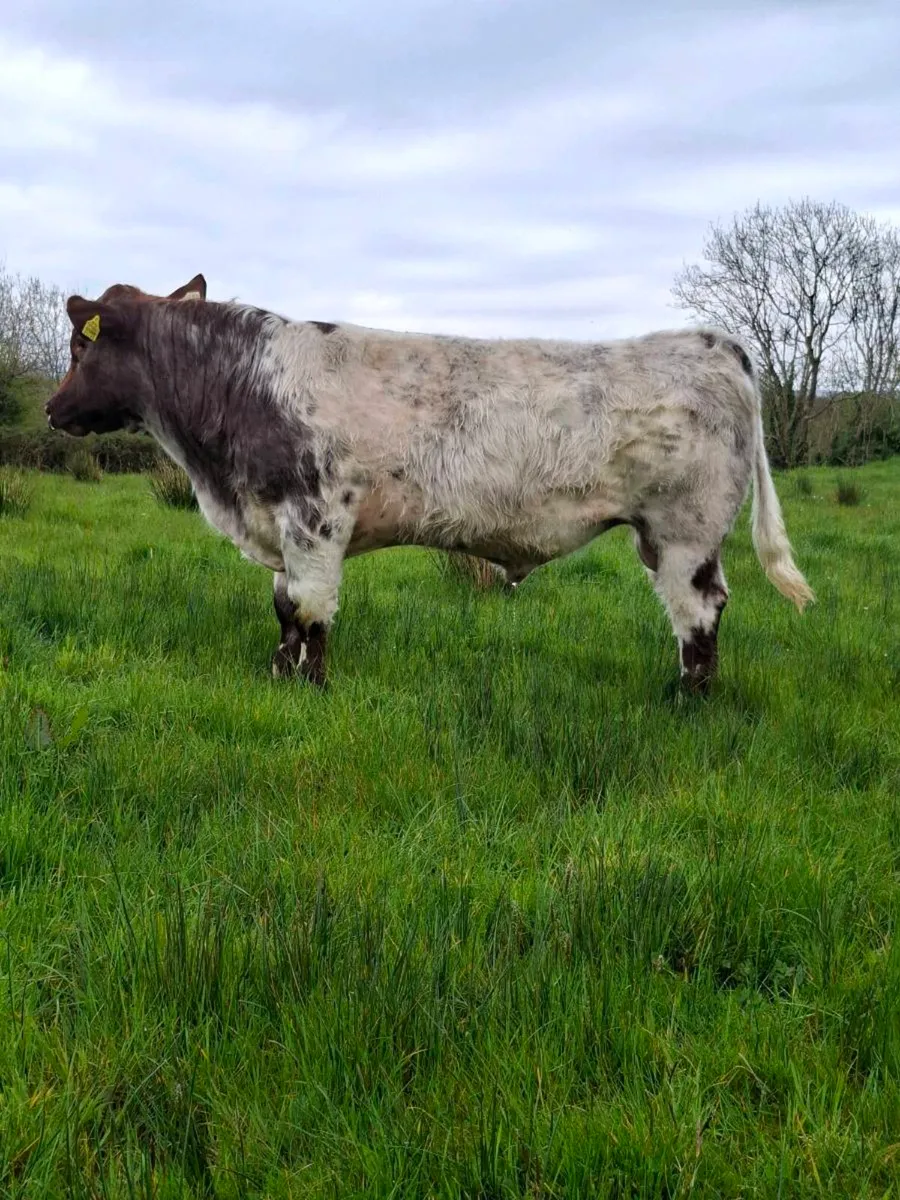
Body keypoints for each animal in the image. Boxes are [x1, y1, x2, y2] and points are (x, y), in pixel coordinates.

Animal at [46, 280, 813, 691]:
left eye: (83, 345)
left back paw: (689, 698)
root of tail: (713, 341)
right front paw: (280, 676)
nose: (53, 409)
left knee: (699, 611)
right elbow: (284, 609)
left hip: (687, 528)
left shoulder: (316, 518)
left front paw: (311, 687)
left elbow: (312, 611)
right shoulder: (280, 523)